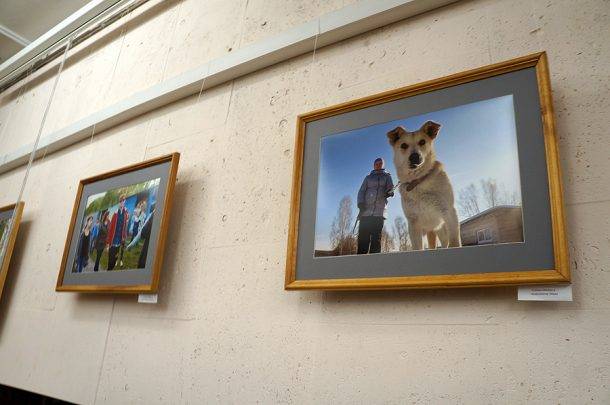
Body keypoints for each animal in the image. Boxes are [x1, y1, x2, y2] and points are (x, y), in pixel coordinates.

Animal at [388, 120, 458, 249]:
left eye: (422, 142)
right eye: (403, 145)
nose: (415, 157)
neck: (418, 181)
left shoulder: (449, 211)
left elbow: (455, 242)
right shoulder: (413, 224)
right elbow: (417, 247)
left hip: (442, 228)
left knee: (445, 242)